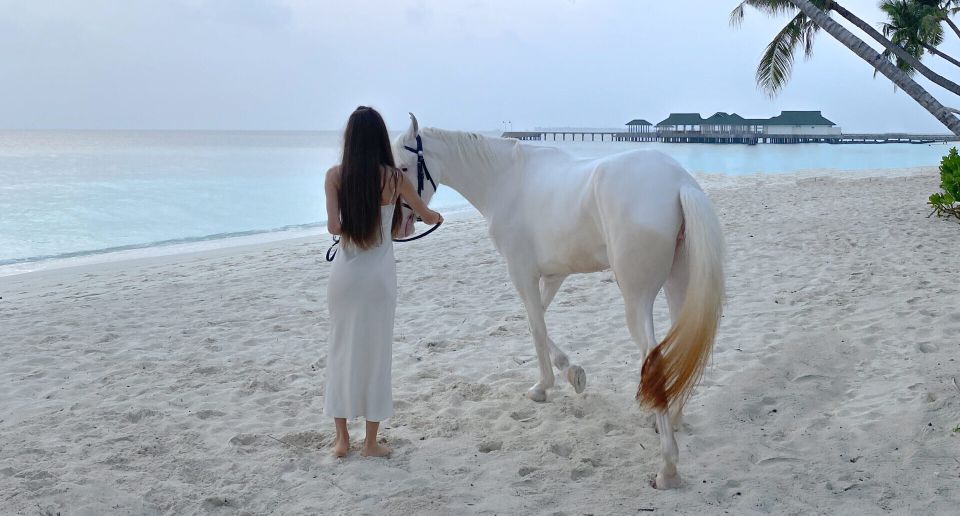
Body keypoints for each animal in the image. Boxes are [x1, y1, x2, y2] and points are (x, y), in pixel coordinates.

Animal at [394, 113, 724, 488]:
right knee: (681, 349)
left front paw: (546, 385)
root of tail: (679, 182)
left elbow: (536, 327)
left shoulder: (522, 273)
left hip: (637, 298)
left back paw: (668, 468)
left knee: (654, 360)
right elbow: (535, 322)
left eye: (404, 167)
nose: (401, 224)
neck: (505, 179)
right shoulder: (553, 276)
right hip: (677, 287)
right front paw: (570, 374)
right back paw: (670, 420)